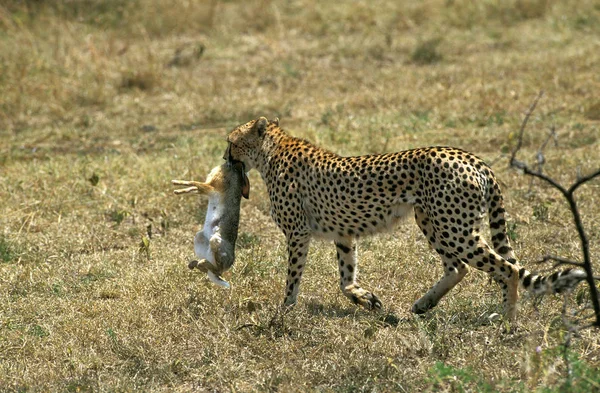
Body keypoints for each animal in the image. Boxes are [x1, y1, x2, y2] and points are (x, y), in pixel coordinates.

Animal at [225, 115, 584, 320]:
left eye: (231, 142)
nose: (225, 156)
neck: (272, 150)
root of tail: (472, 158)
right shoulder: (343, 234)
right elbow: (345, 279)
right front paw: (366, 300)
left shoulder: (298, 233)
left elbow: (293, 277)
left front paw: (283, 312)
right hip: (432, 221)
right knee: (461, 267)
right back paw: (425, 304)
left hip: (454, 227)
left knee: (506, 269)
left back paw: (507, 321)